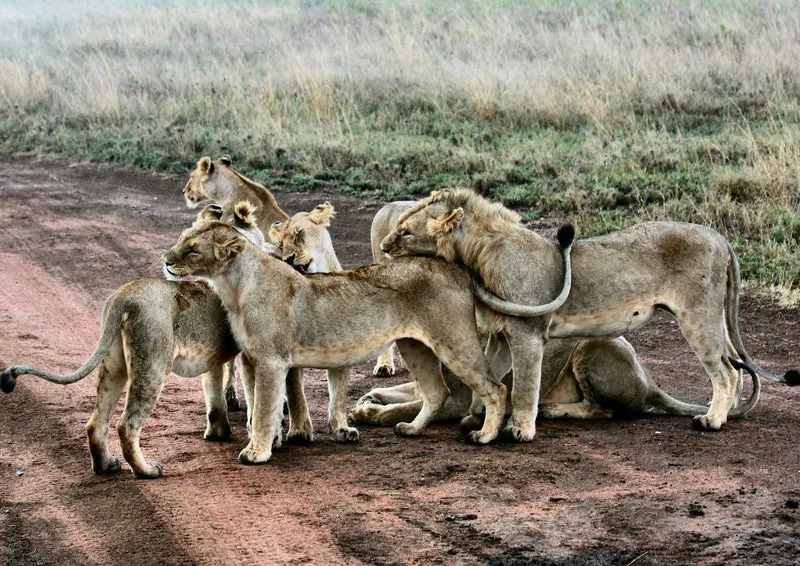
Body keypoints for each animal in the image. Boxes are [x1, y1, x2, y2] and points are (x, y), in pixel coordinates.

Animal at [162, 219, 510, 466]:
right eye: (181, 239)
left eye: (193, 249)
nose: (165, 259)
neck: (233, 285)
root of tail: (456, 268)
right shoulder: (250, 359)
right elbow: (261, 406)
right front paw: (271, 441)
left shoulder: (271, 360)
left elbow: (263, 408)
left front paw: (257, 453)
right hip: (416, 346)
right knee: (438, 392)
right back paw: (411, 429)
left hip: (454, 341)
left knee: (496, 388)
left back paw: (485, 435)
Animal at [380, 188, 799, 441]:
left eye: (405, 232)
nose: (383, 247)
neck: (476, 255)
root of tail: (720, 237)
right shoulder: (501, 335)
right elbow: (493, 379)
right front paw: (481, 420)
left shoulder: (527, 333)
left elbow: (525, 385)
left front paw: (520, 430)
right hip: (712, 318)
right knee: (736, 368)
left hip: (698, 316)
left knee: (727, 372)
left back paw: (713, 421)